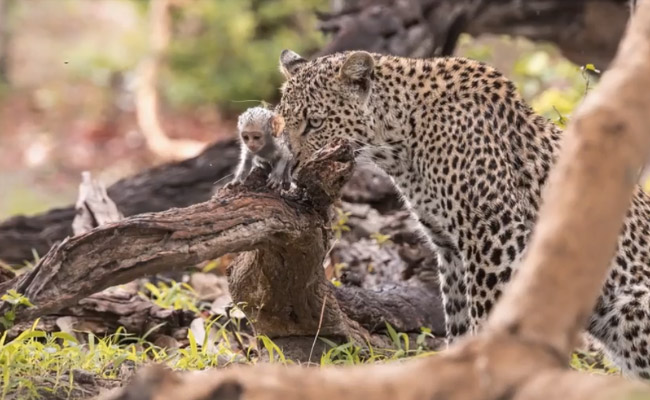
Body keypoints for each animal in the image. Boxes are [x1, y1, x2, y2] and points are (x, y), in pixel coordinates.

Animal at [274, 48, 650, 379]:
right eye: (282, 124)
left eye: (315, 123)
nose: (291, 167)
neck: (400, 142)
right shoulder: (451, 249)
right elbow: (457, 317)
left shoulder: (496, 236)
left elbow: (487, 314)